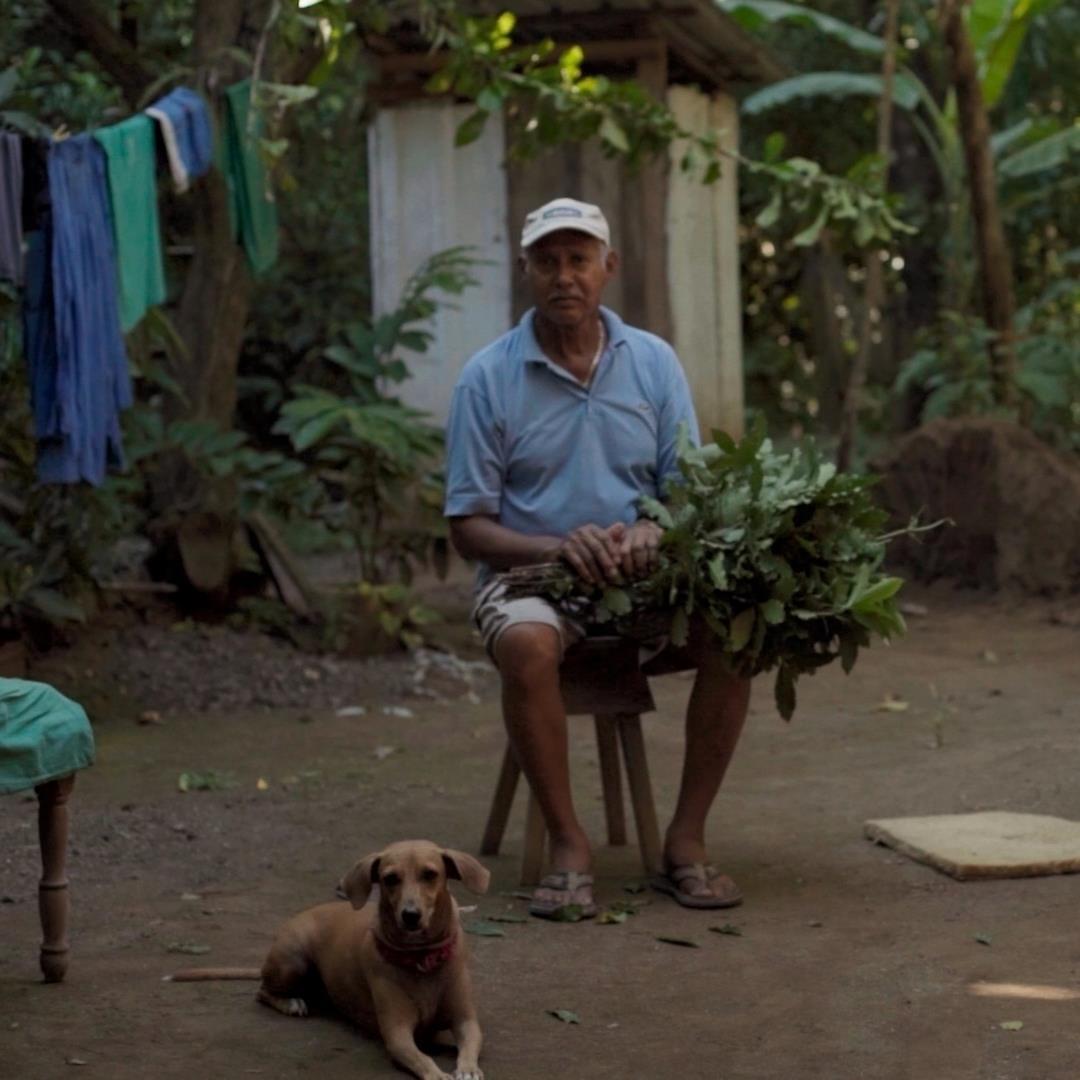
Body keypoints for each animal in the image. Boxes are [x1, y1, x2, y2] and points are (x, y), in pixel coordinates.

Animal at [170, 840, 490, 1080]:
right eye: (390, 878)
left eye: (430, 874)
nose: (410, 915)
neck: (421, 958)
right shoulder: (397, 1034)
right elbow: (421, 1057)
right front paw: (438, 1074)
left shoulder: (466, 1021)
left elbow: (470, 1045)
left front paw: (467, 1068)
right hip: (293, 960)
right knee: (262, 990)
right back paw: (291, 1002)